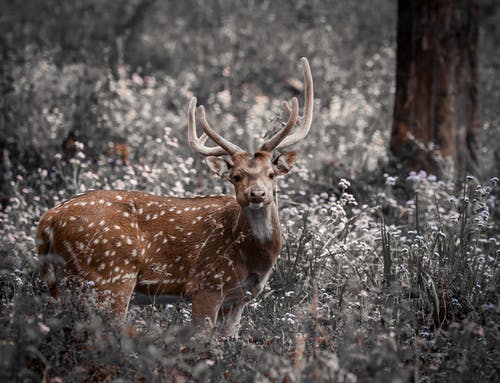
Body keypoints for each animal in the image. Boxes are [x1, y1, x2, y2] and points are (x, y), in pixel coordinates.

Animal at [38, 57, 312, 340]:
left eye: (272, 174)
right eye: (235, 176)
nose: (257, 194)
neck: (252, 258)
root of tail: (48, 220)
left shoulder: (239, 298)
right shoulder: (206, 285)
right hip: (112, 273)